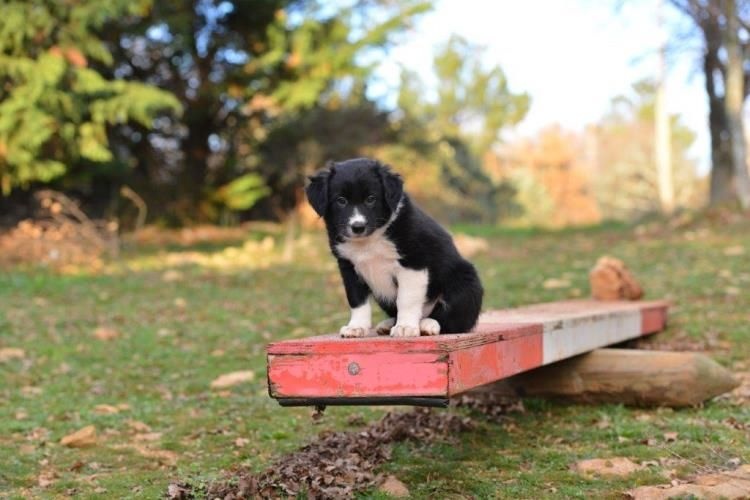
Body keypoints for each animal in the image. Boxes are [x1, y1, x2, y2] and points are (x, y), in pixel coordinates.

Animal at [308, 156, 484, 338]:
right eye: (341, 201)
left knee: (455, 320)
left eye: (371, 199)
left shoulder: (413, 262)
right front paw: (356, 327)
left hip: (466, 281)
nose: (358, 227)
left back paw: (428, 324)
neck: (370, 240)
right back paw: (388, 324)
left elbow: (406, 299)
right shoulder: (348, 267)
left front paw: (405, 326)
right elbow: (357, 300)